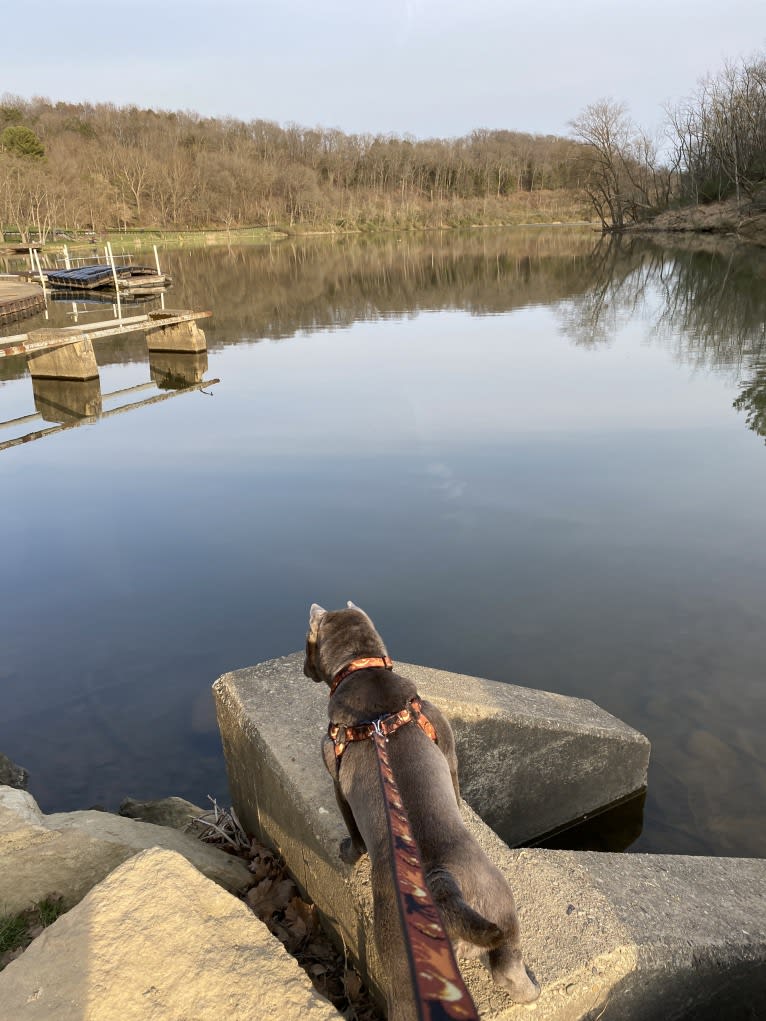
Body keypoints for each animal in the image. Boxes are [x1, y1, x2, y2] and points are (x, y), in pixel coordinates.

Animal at [306, 600, 539, 1016]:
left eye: (306, 642)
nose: (303, 668)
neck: (364, 670)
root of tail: (445, 889)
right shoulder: (448, 751)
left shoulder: (336, 780)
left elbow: (352, 830)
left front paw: (347, 852)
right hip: (502, 913)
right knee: (510, 972)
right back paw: (533, 989)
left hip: (401, 971)